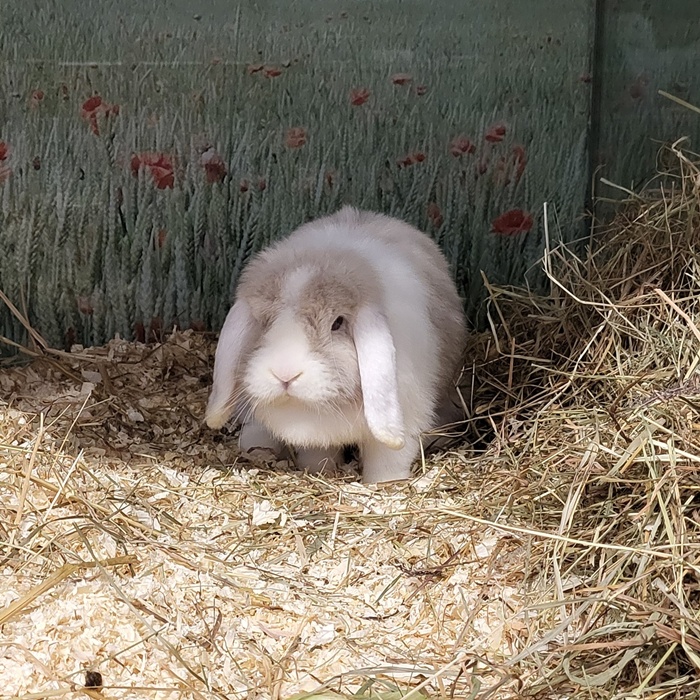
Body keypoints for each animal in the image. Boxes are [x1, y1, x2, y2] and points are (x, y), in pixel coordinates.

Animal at [205, 206, 467, 483]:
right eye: (264, 321)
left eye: (338, 323)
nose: (285, 374)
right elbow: (318, 454)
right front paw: (318, 471)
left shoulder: (404, 419)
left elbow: (388, 458)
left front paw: (383, 483)